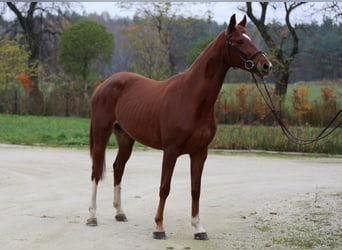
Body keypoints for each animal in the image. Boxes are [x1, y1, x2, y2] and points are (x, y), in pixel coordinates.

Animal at [86, 15, 272, 240]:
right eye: (239, 41)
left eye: (250, 37)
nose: (266, 65)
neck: (192, 98)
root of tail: (104, 83)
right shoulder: (171, 150)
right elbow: (164, 187)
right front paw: (159, 228)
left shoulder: (200, 152)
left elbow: (195, 189)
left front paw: (199, 228)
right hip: (101, 135)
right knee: (96, 171)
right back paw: (92, 217)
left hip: (125, 138)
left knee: (118, 168)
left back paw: (120, 213)